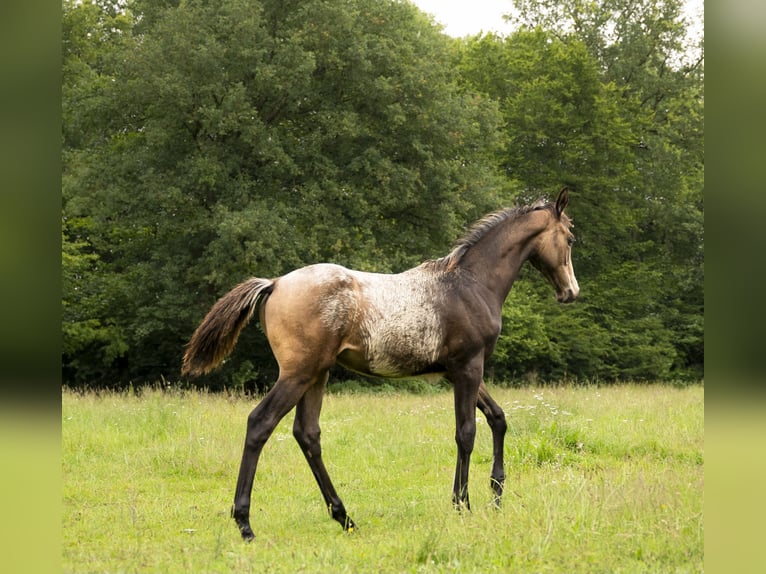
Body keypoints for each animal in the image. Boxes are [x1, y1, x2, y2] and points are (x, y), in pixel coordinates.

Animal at [183, 187, 580, 544]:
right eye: (570, 238)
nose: (570, 292)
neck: (469, 283)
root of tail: (275, 283)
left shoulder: (457, 371)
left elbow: (497, 418)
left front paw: (496, 495)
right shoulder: (469, 367)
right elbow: (466, 433)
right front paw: (462, 505)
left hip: (317, 375)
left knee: (307, 434)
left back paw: (344, 518)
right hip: (298, 374)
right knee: (260, 423)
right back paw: (245, 524)